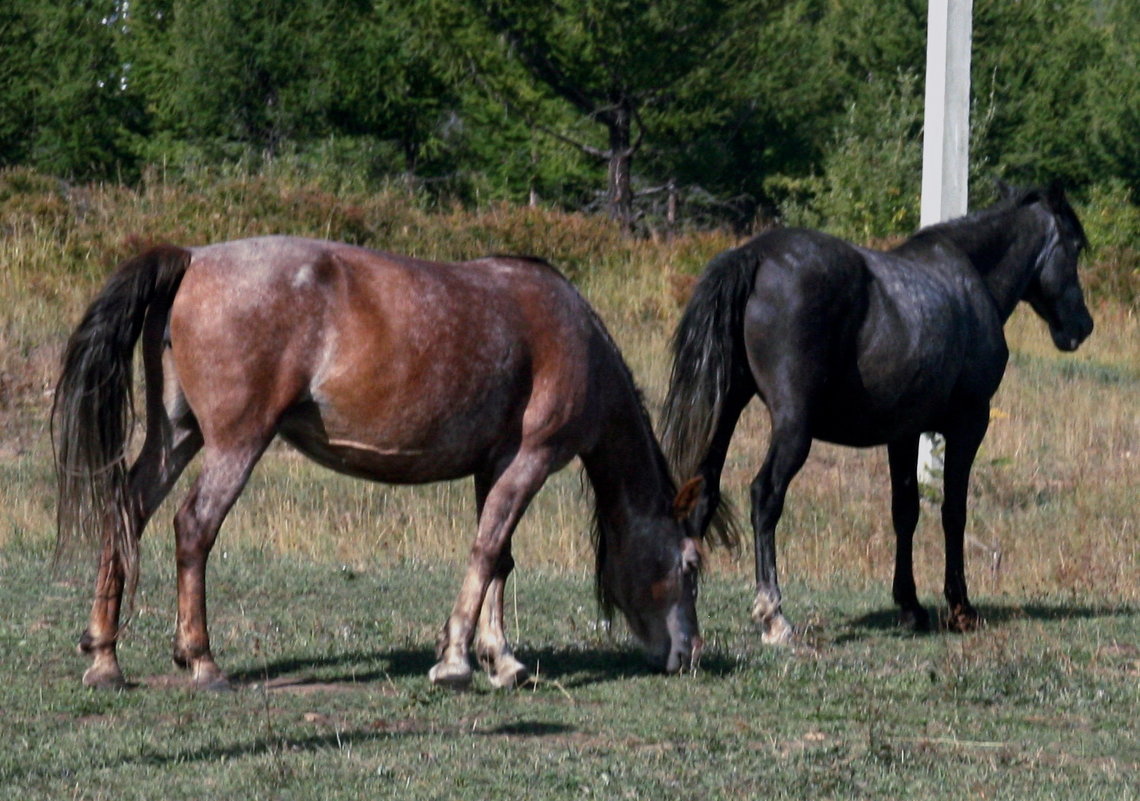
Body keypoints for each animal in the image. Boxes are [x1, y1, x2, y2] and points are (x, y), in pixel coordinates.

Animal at [60, 236, 711, 688]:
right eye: (690, 564)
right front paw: (456, 662)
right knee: (194, 527)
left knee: (128, 509)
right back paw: (201, 660)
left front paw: (501, 658)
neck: (569, 332)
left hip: (178, 434)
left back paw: (105, 658)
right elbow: (485, 553)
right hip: (234, 444)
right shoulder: (530, 460)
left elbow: (499, 558)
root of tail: (192, 258)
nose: (687, 655)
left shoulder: (495, 466)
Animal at [661, 184, 1094, 642]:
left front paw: (911, 606)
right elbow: (953, 512)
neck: (971, 281)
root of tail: (755, 256)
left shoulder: (904, 433)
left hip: (726, 409)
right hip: (794, 428)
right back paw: (773, 614)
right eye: (1075, 246)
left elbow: (905, 511)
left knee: (704, 491)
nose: (1082, 325)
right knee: (765, 495)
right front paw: (960, 607)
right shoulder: (969, 425)